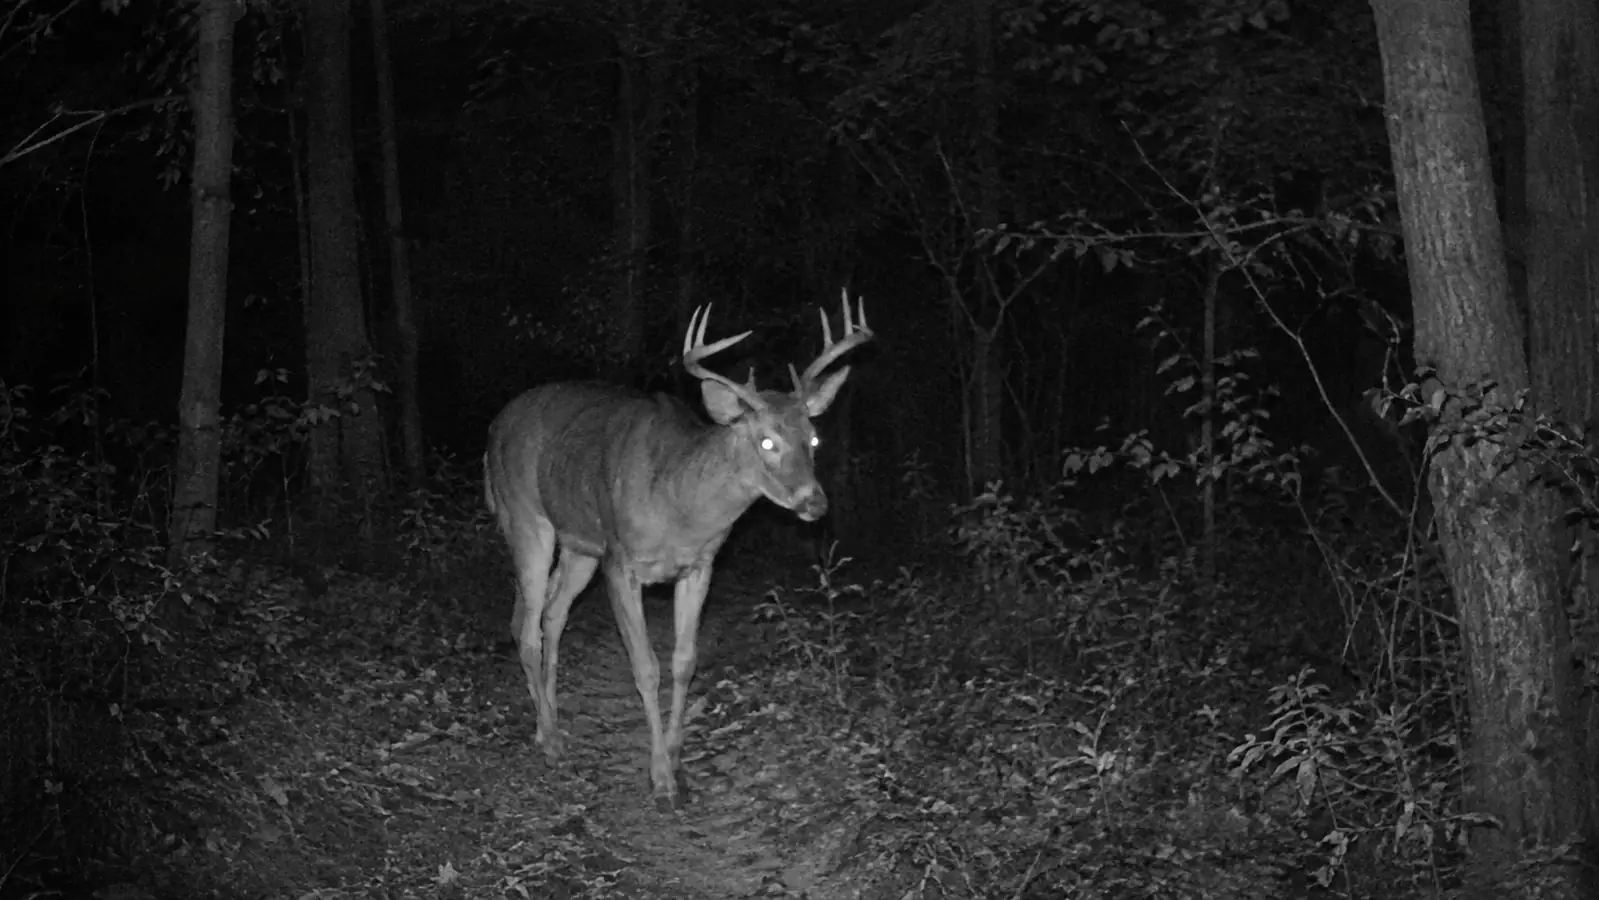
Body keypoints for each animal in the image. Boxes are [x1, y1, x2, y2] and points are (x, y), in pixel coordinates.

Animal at [483, 291, 872, 811]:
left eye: (812, 437)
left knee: (550, 615)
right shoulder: (621, 562)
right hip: (526, 518)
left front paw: (675, 759)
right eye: (766, 440)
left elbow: (685, 662)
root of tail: (495, 427)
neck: (680, 504)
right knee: (525, 628)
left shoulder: (700, 566)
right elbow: (646, 668)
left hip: (580, 544)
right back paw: (550, 741)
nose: (815, 503)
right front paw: (661, 779)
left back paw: (548, 726)